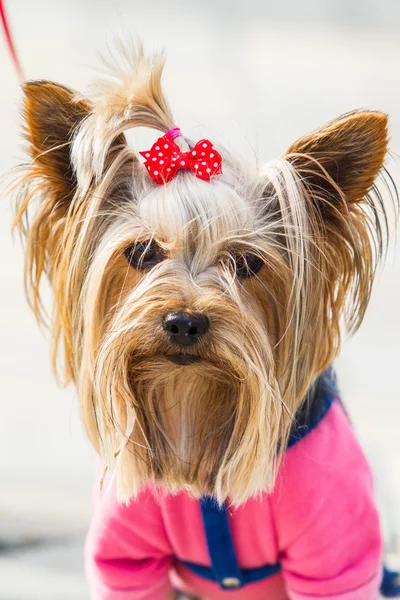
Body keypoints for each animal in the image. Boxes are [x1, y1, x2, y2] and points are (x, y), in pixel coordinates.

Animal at [9, 39, 400, 596]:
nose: (183, 322)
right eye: (142, 252)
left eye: (247, 263)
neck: (192, 404)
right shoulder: (124, 561)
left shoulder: (336, 559)